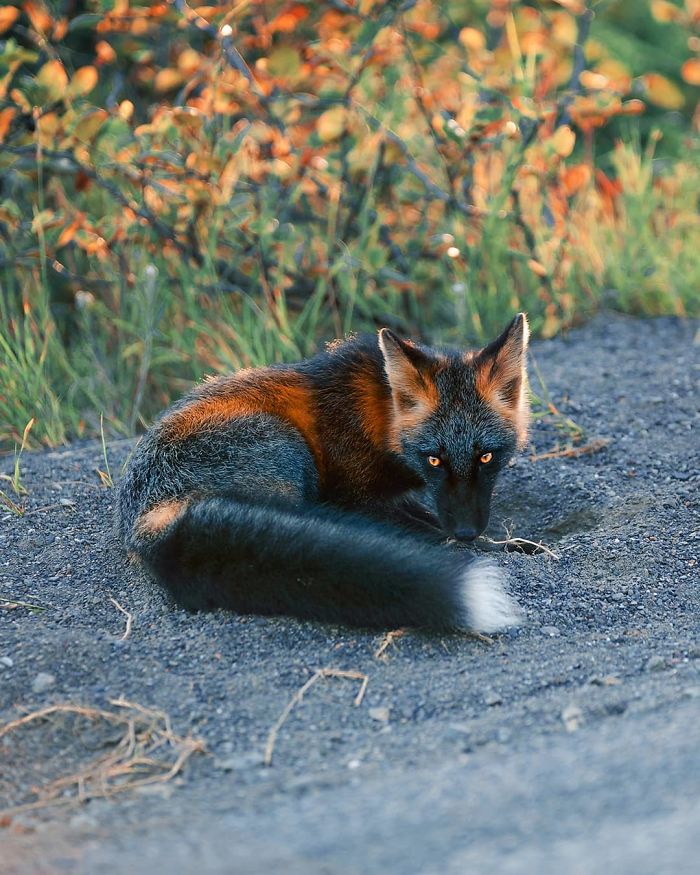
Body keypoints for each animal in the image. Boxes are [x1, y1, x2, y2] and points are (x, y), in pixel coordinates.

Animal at [116, 313, 530, 633]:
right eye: (433, 460)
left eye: (487, 457)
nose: (466, 531)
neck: (376, 416)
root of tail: (148, 520)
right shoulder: (355, 497)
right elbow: (426, 526)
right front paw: (495, 545)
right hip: (288, 450)